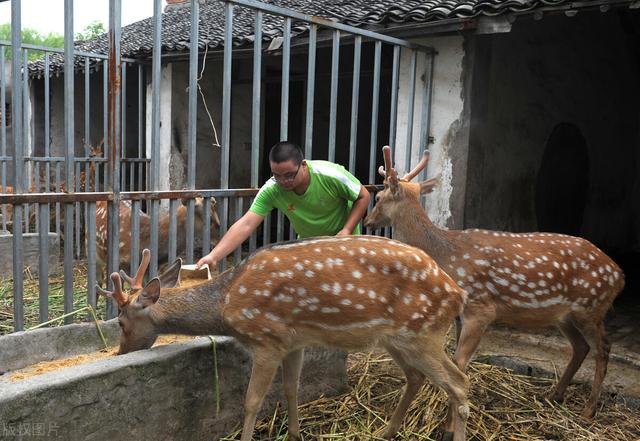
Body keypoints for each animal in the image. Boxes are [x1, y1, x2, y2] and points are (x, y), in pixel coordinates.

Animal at [99, 237, 470, 440]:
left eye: (120, 321)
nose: (119, 353)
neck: (227, 304)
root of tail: (457, 293)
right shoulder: (294, 341)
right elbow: (291, 388)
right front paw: (294, 433)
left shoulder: (266, 339)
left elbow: (251, 401)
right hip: (397, 340)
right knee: (417, 377)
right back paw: (386, 431)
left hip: (422, 332)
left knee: (458, 382)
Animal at [364, 146, 624, 418]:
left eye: (379, 196)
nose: (368, 222)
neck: (446, 256)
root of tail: (619, 275)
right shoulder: (461, 315)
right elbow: (456, 362)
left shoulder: (481, 308)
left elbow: (458, 364)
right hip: (565, 315)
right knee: (581, 347)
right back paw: (555, 395)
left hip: (591, 306)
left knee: (603, 347)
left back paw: (588, 410)